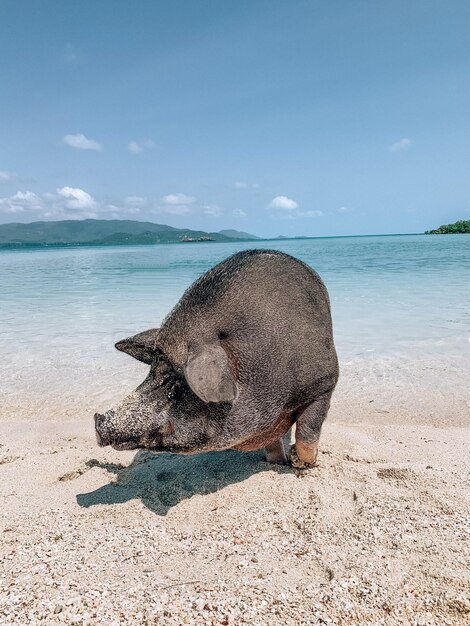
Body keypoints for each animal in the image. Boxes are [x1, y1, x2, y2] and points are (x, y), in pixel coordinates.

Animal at [94, 249, 338, 468]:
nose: (98, 422)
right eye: (151, 371)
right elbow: (273, 443)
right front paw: (277, 463)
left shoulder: (325, 383)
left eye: (178, 384)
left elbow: (308, 430)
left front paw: (302, 464)